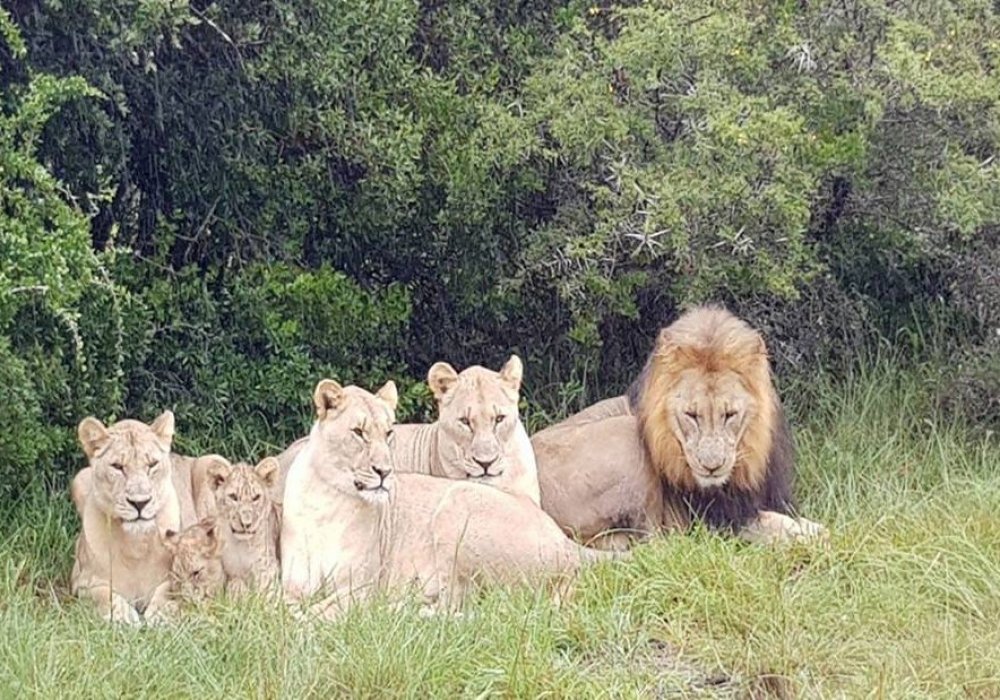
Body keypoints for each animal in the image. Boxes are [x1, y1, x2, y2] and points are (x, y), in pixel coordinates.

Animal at [69, 410, 196, 624]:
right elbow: (103, 595)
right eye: (117, 466)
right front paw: (123, 615)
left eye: (152, 464)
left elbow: (169, 591)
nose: (140, 503)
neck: (135, 545)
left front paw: (160, 614)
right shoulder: (81, 582)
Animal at [278, 380, 612, 616]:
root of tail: (563, 540)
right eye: (358, 432)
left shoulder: (361, 587)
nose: (385, 471)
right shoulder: (292, 584)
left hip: (457, 504)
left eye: (388, 433)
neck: (328, 500)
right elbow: (277, 610)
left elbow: (319, 613)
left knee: (470, 603)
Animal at [536, 304, 824, 548]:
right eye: (691, 415)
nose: (711, 467)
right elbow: (776, 525)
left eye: (730, 414)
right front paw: (812, 537)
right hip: (627, 435)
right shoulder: (715, 519)